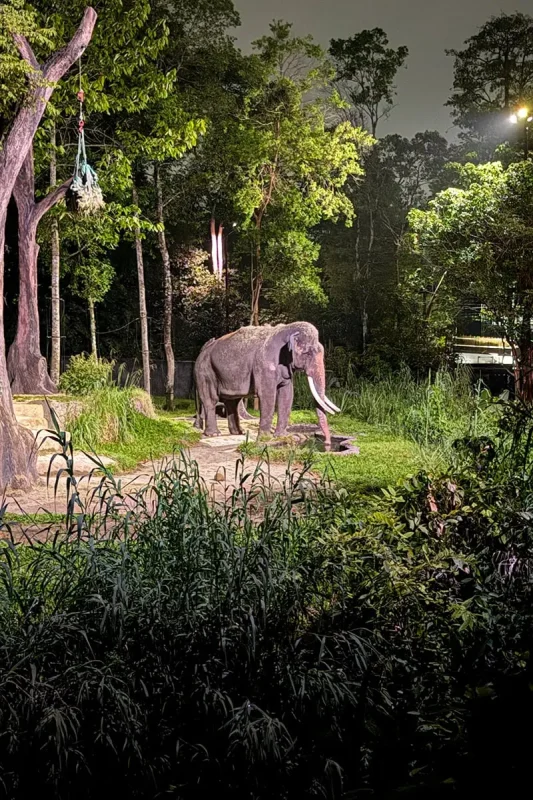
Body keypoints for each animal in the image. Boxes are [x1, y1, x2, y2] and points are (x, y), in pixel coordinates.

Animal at [193, 322, 340, 445]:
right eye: (308, 353)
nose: (327, 442)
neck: (287, 329)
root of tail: (203, 349)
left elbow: (287, 394)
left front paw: (282, 436)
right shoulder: (264, 363)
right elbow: (267, 395)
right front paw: (265, 439)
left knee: (232, 401)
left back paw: (238, 432)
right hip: (205, 370)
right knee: (211, 399)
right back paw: (213, 434)